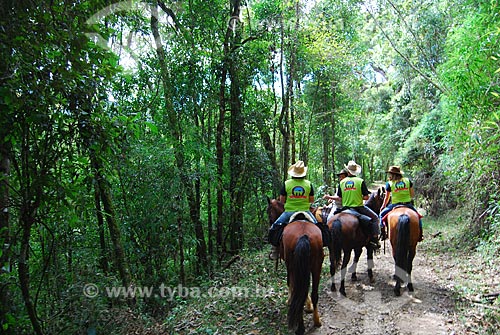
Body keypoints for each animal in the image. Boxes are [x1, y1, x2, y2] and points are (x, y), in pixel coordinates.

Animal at [266, 200, 324, 335]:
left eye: (268, 211)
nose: (270, 222)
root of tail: (303, 235)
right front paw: (309, 306)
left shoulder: (289, 265)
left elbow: (290, 283)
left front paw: (289, 300)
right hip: (316, 265)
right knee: (313, 293)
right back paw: (317, 321)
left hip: (293, 265)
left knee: (298, 293)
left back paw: (300, 328)